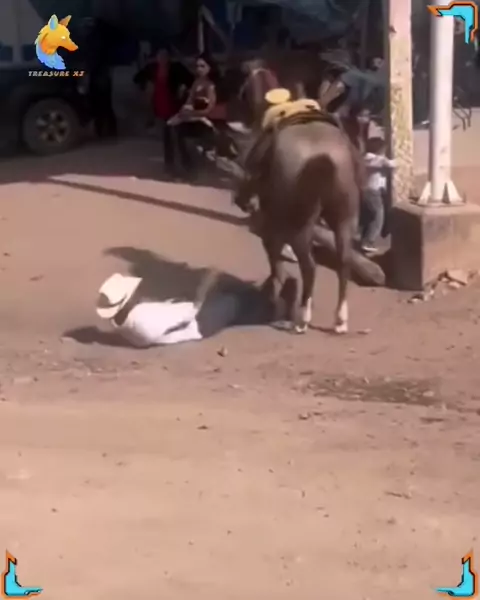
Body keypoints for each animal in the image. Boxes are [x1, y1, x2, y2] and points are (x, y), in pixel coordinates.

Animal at [233, 111, 364, 334]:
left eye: (248, 165)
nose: (241, 202)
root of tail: (324, 155)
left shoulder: (271, 228)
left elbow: (276, 265)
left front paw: (275, 297)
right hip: (345, 219)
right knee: (344, 261)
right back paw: (340, 319)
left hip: (299, 228)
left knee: (309, 267)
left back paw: (302, 318)